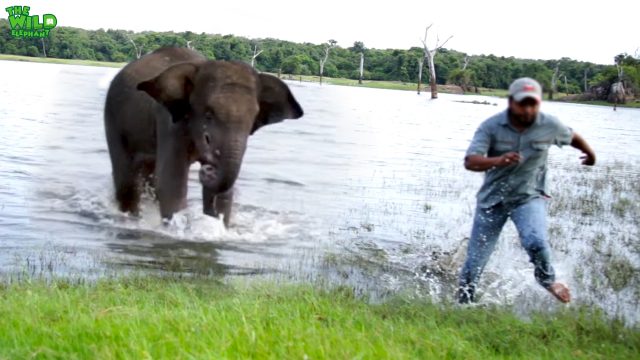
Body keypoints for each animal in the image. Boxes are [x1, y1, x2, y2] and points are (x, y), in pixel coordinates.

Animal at [104, 47, 304, 225]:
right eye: (208, 114)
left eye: (254, 117)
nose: (208, 168)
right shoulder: (170, 122)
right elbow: (171, 182)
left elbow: (224, 191)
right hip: (113, 119)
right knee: (127, 181)